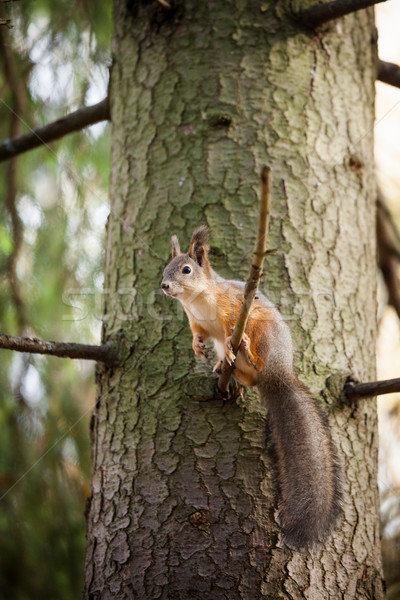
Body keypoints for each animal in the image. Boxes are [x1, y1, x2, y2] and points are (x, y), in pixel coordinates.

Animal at [161, 225, 342, 548]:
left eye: (186, 269)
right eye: (165, 268)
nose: (164, 286)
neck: (197, 300)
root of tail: (279, 374)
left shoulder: (233, 307)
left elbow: (230, 326)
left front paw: (232, 342)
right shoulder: (197, 323)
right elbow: (198, 334)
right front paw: (197, 348)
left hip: (263, 333)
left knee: (255, 357)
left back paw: (245, 352)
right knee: (244, 373)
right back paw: (225, 368)